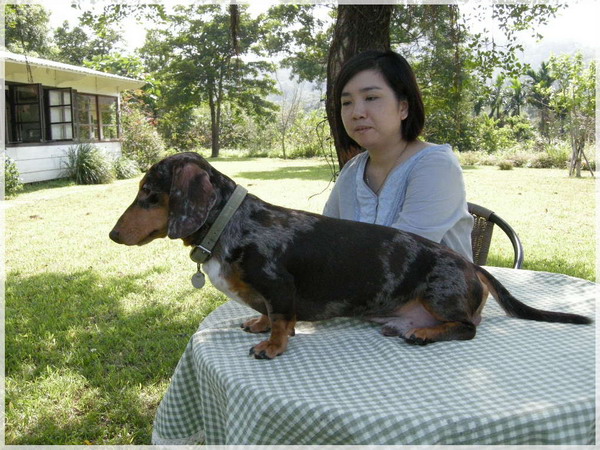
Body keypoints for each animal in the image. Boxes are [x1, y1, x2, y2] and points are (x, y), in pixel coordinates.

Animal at [109, 152, 592, 359]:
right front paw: (258, 325)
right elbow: (266, 313)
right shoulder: (268, 295)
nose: (112, 235)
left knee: (468, 329)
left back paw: (425, 334)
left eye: (149, 194)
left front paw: (272, 345)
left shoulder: (280, 288)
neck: (233, 223)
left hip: (441, 293)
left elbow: (281, 320)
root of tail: (473, 265)